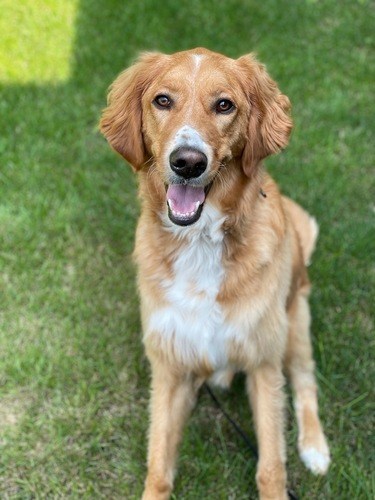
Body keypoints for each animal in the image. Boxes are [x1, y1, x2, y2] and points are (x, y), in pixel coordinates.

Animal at [100, 47, 332, 500]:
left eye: (224, 105)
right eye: (162, 100)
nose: (188, 162)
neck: (201, 243)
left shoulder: (263, 362)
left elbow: (271, 468)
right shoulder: (170, 365)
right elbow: (158, 466)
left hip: (294, 326)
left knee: (305, 385)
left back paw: (315, 448)